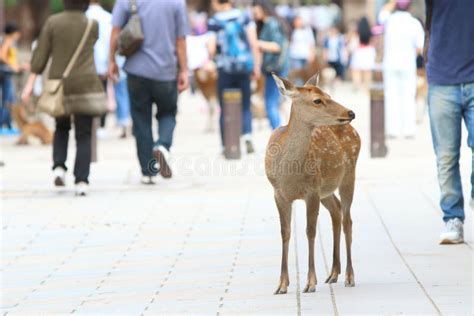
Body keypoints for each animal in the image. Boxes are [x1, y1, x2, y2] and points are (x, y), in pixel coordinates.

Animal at [264, 72, 362, 294]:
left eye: (328, 94)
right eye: (317, 100)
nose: (351, 112)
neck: (289, 174)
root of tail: (355, 132)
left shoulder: (312, 191)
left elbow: (310, 231)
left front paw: (309, 283)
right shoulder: (279, 193)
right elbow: (285, 232)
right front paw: (281, 285)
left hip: (348, 176)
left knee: (348, 220)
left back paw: (349, 276)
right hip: (327, 189)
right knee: (336, 212)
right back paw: (333, 273)